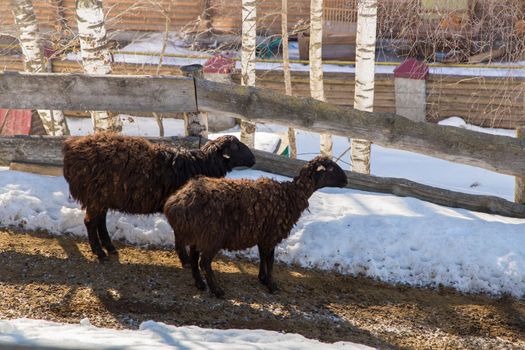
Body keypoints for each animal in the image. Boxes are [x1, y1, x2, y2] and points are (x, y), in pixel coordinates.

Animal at [62, 133, 255, 262]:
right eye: (236, 147)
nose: (253, 159)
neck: (200, 165)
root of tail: (70, 149)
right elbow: (180, 234)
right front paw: (185, 259)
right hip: (95, 195)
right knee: (90, 222)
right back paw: (99, 252)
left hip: (102, 197)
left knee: (99, 221)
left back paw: (109, 247)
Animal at [162, 156, 346, 296]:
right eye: (331, 169)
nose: (346, 180)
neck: (290, 195)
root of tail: (176, 202)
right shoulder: (271, 235)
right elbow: (270, 261)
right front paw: (272, 286)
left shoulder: (262, 234)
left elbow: (262, 257)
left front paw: (262, 278)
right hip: (212, 236)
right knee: (204, 262)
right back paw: (217, 291)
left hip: (198, 235)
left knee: (194, 258)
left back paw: (200, 284)